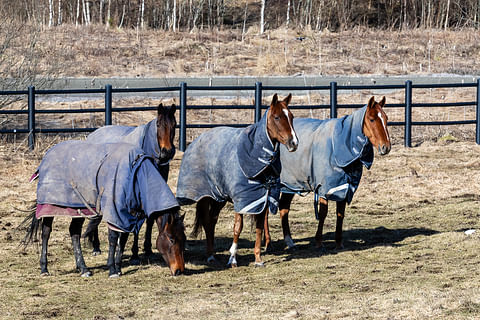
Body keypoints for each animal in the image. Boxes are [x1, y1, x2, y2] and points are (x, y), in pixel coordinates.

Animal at [23, 141, 186, 276]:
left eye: (183, 238)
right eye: (171, 239)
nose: (179, 270)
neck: (136, 175)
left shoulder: (127, 215)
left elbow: (123, 239)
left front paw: (118, 268)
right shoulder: (114, 212)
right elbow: (113, 238)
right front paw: (112, 269)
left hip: (78, 210)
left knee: (74, 232)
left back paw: (83, 269)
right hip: (49, 207)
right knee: (46, 232)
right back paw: (44, 269)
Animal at [82, 102, 176, 262]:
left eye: (174, 125)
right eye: (158, 124)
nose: (167, 152)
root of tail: (91, 136)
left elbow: (150, 218)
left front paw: (147, 248)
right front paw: (135, 254)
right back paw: (96, 247)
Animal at [174, 93, 298, 268]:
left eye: (291, 116)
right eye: (277, 117)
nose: (293, 143)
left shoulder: (261, 198)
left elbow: (259, 227)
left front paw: (258, 259)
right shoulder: (241, 199)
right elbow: (238, 227)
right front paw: (232, 258)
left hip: (219, 197)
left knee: (212, 221)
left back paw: (212, 254)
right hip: (205, 196)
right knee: (207, 221)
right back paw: (210, 255)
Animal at [268, 95, 392, 252]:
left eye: (386, 118)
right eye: (371, 119)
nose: (386, 147)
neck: (338, 145)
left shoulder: (344, 186)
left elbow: (340, 213)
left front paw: (339, 243)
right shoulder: (323, 187)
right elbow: (323, 213)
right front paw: (319, 242)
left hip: (291, 184)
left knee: (284, 208)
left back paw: (289, 242)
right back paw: (268, 243)